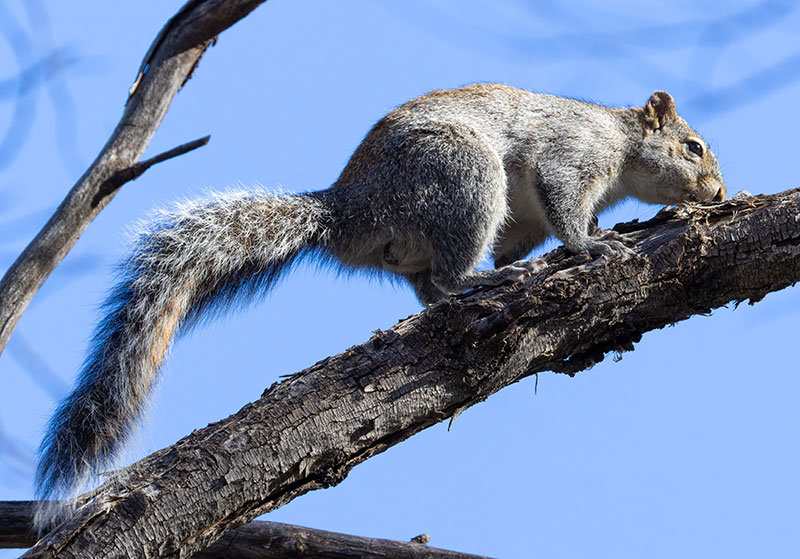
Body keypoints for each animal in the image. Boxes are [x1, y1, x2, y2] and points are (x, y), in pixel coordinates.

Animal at [35, 83, 725, 523]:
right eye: (693, 146)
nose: (719, 193)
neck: (617, 141)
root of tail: (349, 212)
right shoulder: (571, 153)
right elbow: (563, 200)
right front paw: (591, 244)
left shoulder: (525, 222)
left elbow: (528, 233)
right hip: (464, 178)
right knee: (446, 278)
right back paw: (484, 283)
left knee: (428, 287)